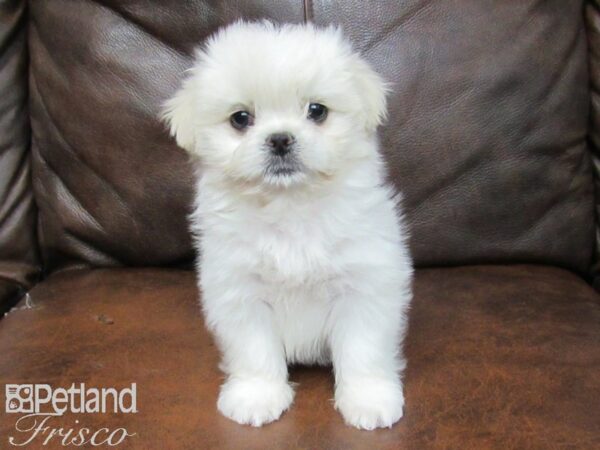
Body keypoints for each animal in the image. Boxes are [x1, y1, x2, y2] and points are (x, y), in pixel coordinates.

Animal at [163, 22, 412, 432]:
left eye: (317, 111)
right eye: (241, 119)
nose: (280, 138)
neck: (290, 207)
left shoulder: (364, 286)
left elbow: (362, 350)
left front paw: (368, 399)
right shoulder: (241, 293)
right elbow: (255, 351)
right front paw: (256, 396)